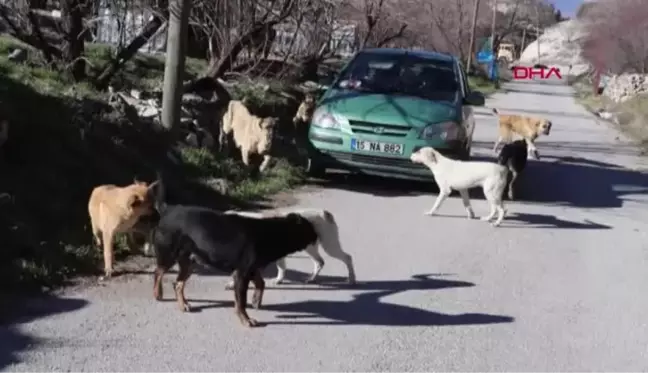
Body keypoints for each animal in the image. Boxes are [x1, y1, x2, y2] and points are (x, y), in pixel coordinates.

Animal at [147, 177, 318, 326]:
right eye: (310, 228)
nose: (317, 236)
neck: (274, 233)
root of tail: (168, 209)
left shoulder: (251, 270)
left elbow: (261, 283)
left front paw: (256, 300)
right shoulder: (242, 274)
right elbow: (241, 302)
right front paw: (246, 319)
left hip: (190, 262)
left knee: (178, 283)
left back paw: (183, 304)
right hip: (169, 255)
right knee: (158, 272)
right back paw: (157, 293)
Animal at [221, 206, 354, 284]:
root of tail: (324, 212)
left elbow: (281, 267)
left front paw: (279, 280)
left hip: (329, 246)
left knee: (347, 258)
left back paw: (352, 279)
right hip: (310, 247)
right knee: (319, 262)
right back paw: (311, 278)